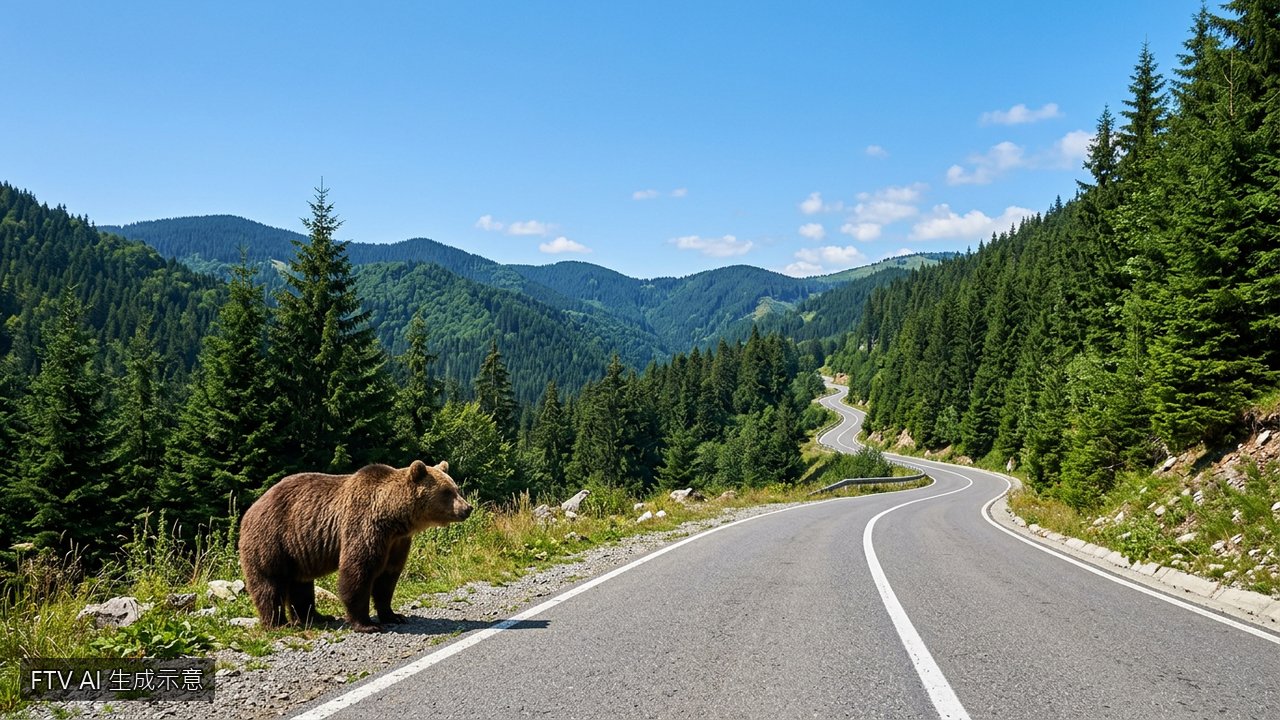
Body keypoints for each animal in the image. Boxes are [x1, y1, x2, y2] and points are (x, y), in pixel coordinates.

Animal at [238, 460, 472, 633]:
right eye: (447, 492)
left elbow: (387, 579)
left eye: (456, 488)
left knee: (301, 585)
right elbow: (358, 571)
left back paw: (316, 617)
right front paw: (366, 624)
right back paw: (278, 624)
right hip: (271, 540)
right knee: (269, 583)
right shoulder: (365, 526)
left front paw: (394, 615)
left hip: (298, 550)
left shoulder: (397, 542)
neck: (394, 519)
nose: (467, 508)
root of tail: (251, 509)